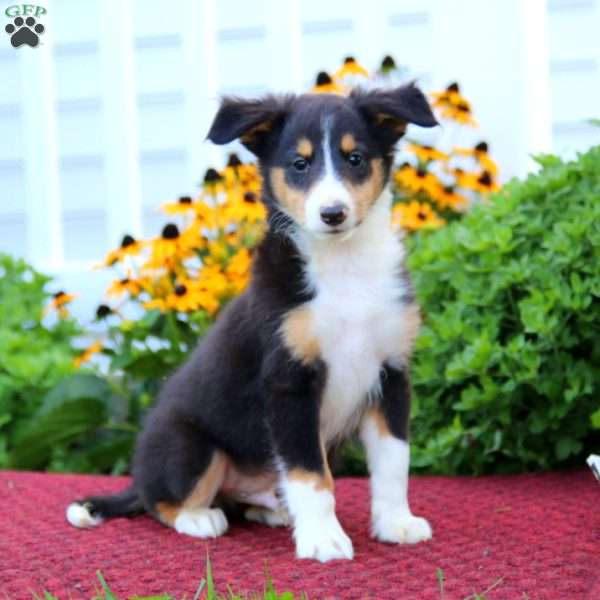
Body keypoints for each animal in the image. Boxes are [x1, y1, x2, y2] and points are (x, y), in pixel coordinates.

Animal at [68, 84, 438, 564]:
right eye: (299, 164)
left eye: (355, 158)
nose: (333, 213)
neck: (345, 267)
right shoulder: (289, 382)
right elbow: (310, 474)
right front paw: (323, 539)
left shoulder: (390, 372)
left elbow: (394, 462)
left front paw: (395, 523)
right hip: (192, 445)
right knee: (160, 500)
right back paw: (199, 518)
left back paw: (273, 512)